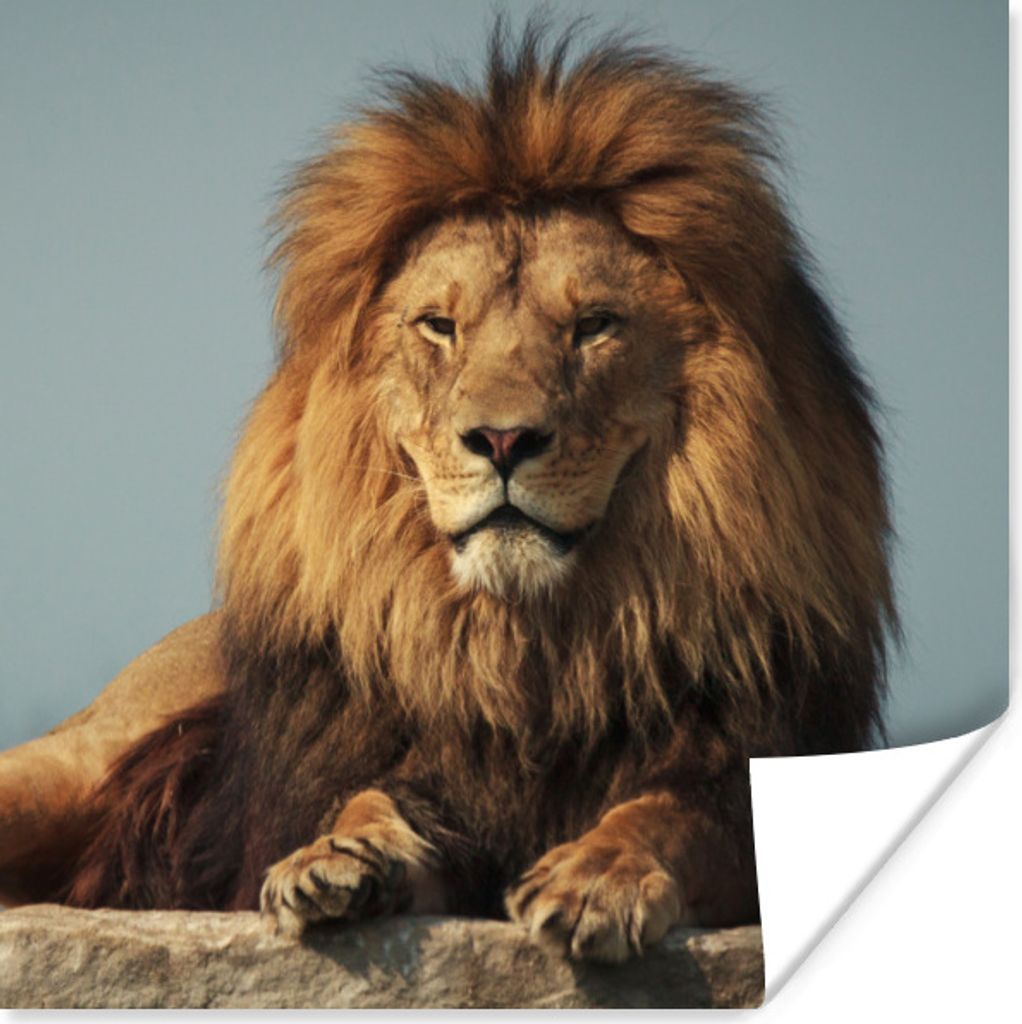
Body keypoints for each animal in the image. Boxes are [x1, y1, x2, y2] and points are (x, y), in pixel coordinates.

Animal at [0, 25, 894, 963]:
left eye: (593, 327)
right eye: (440, 326)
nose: (502, 441)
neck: (532, 650)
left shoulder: (743, 767)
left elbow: (665, 814)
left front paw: (596, 877)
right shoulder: (420, 781)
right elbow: (370, 797)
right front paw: (335, 857)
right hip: (68, 764)